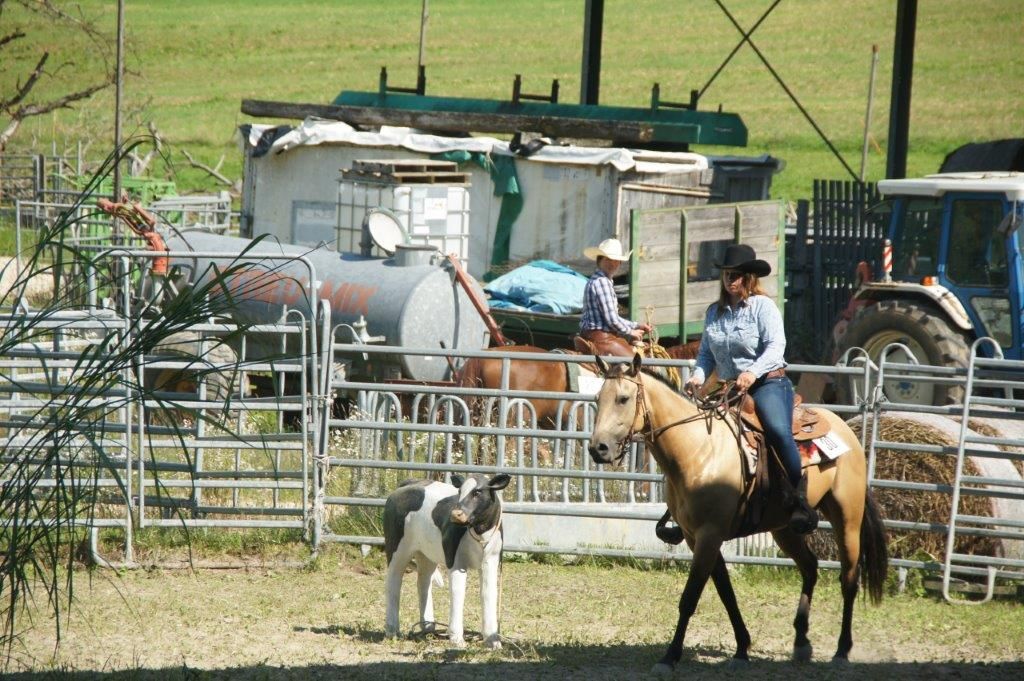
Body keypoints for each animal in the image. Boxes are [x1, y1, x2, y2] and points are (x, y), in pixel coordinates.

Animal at [588, 354, 888, 672]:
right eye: (597, 398)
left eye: (623, 398)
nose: (598, 448)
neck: (698, 449)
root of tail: (846, 428)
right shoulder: (696, 537)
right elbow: (725, 592)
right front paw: (742, 647)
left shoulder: (709, 535)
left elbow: (690, 597)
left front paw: (670, 656)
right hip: (784, 529)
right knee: (810, 568)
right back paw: (801, 642)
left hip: (848, 518)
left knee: (849, 580)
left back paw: (842, 650)